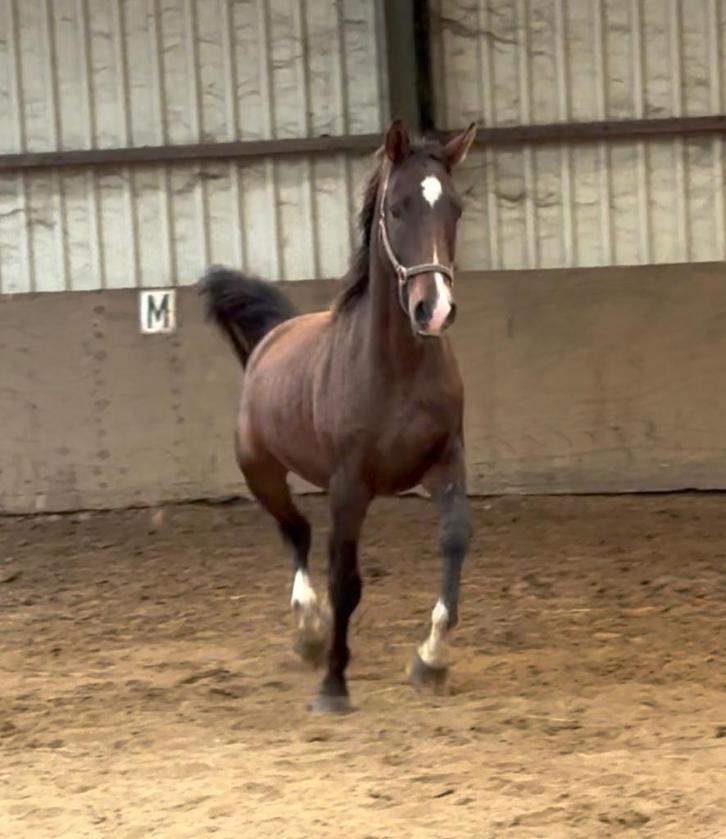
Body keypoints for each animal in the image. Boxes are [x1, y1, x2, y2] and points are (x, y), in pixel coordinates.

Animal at [200, 118, 477, 713]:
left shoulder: (446, 462)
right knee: (296, 533)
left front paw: (431, 660)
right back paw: (310, 634)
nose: (435, 310)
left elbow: (455, 540)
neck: (396, 369)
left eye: (456, 207)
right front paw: (333, 687)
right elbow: (345, 579)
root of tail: (272, 337)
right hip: (261, 472)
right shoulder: (350, 484)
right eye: (396, 207)